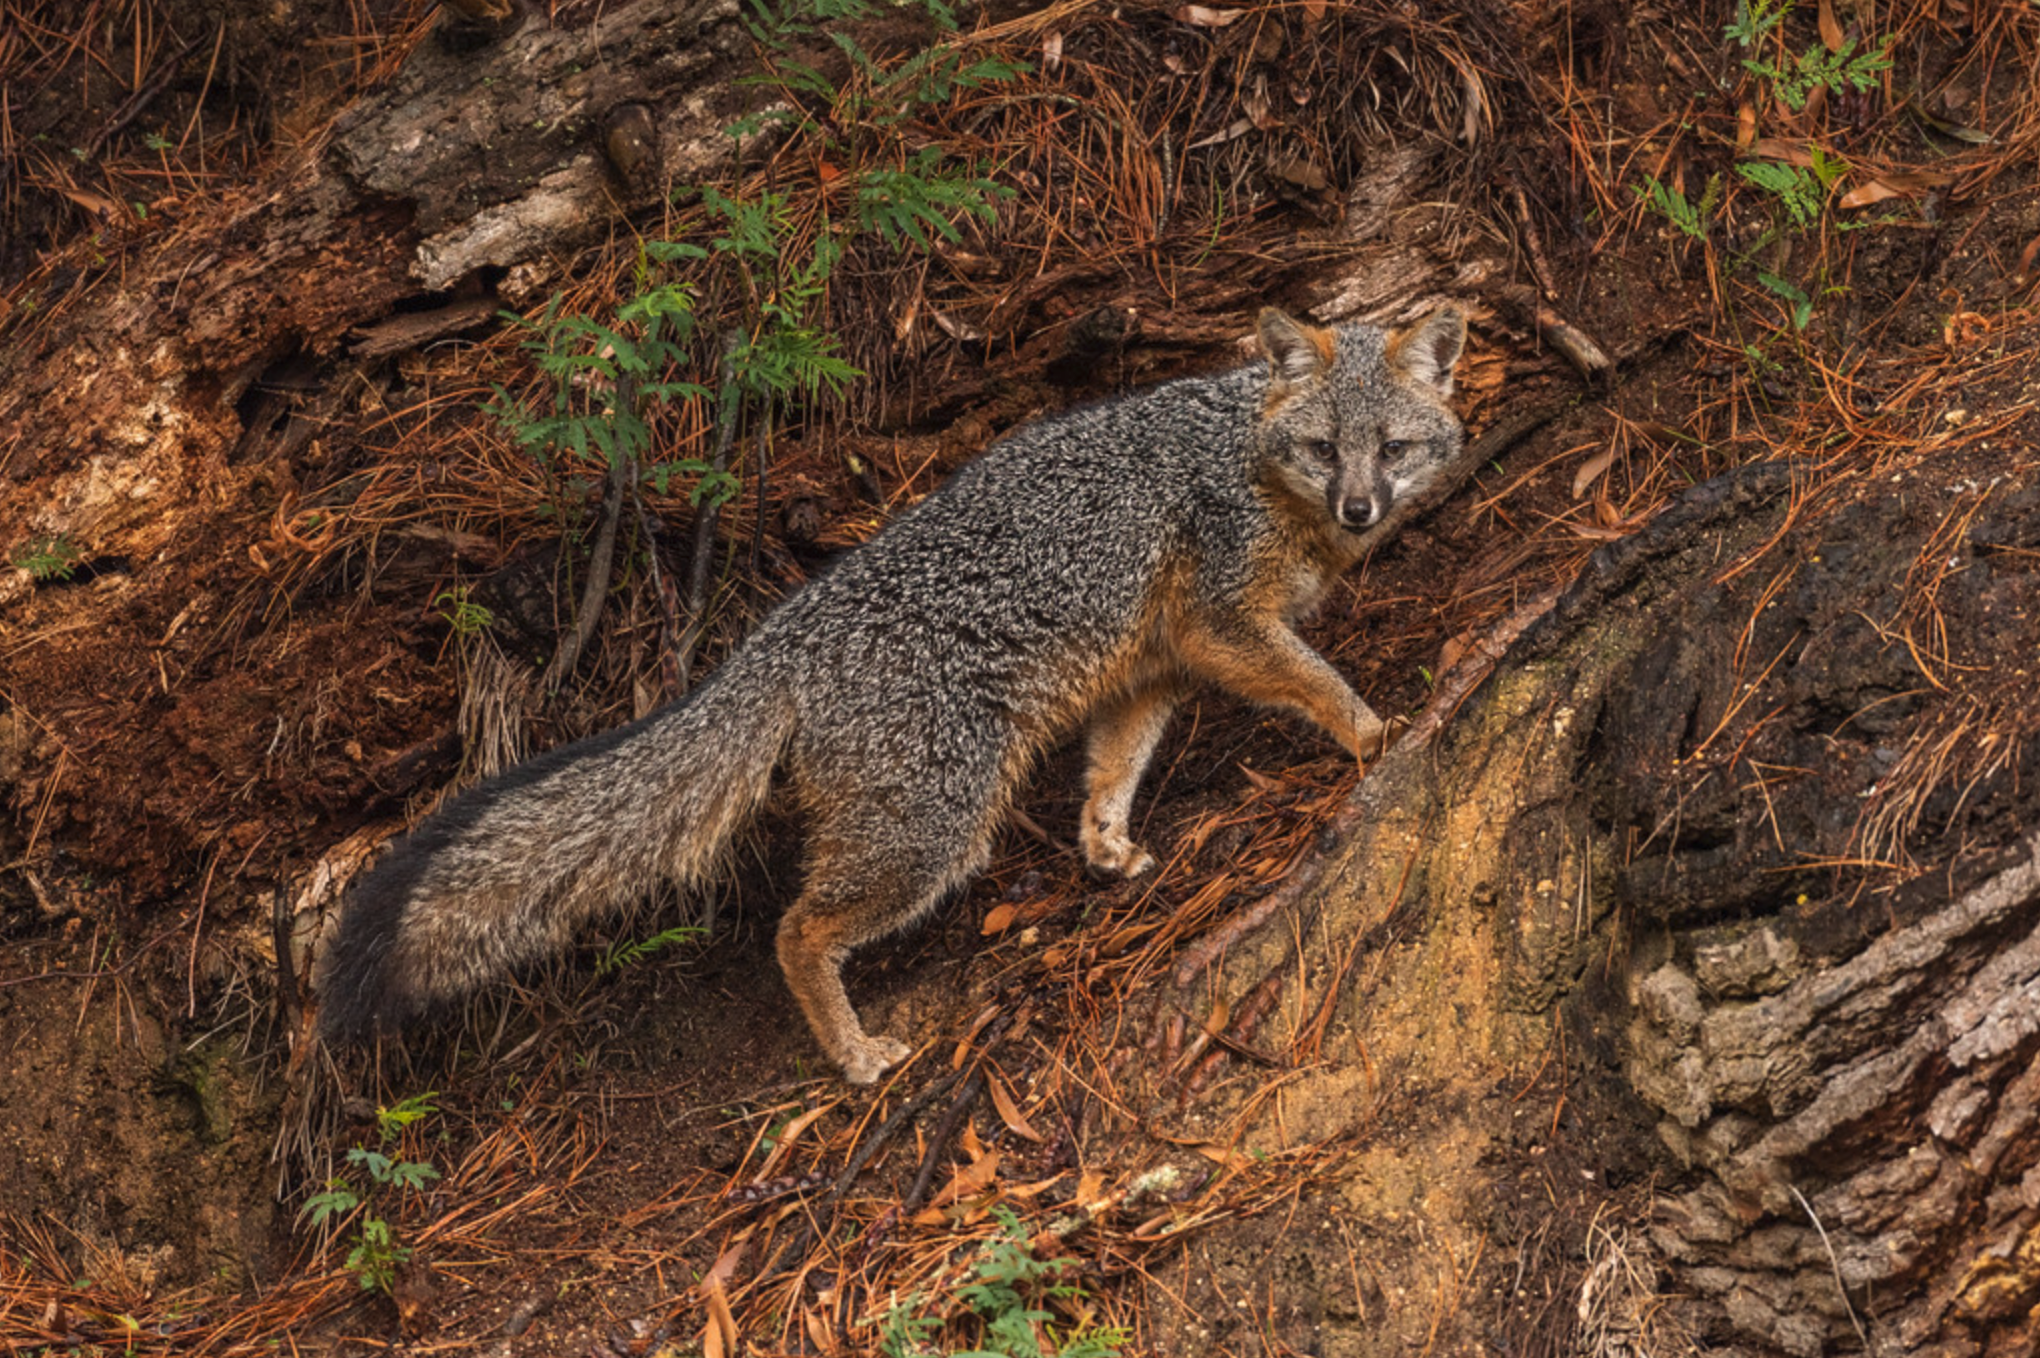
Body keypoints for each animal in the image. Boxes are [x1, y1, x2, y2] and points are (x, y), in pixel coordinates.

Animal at [316, 303, 1468, 1083]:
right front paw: (1376, 732)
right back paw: (857, 1053)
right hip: (932, 830)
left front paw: (1105, 844)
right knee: (799, 930)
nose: (1361, 509)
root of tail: (779, 638)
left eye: (1392, 448)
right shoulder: (1221, 623)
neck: (1247, 456)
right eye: (1322, 448)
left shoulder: (1154, 666)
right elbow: (1318, 680)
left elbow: (1113, 768)